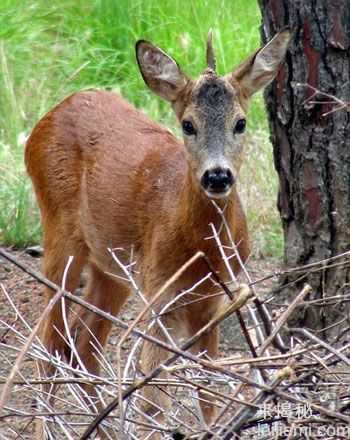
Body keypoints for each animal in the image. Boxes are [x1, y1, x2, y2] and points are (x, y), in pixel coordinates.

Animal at [25, 29, 290, 438]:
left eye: (241, 123)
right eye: (188, 124)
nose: (217, 176)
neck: (201, 251)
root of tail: (48, 117)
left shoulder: (216, 299)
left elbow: (208, 387)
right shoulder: (160, 294)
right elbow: (153, 400)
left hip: (112, 267)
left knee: (83, 345)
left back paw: (103, 427)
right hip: (60, 235)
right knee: (49, 342)